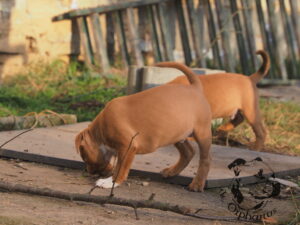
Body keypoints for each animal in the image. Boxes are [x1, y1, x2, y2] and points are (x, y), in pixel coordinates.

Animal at [74, 62, 211, 192]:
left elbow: (120, 168)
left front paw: (111, 182)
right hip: (176, 134)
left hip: (202, 133)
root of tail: (195, 87)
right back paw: (171, 171)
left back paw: (197, 184)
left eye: (84, 157)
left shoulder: (128, 146)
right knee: (189, 152)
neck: (100, 130)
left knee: (205, 160)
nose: (89, 172)